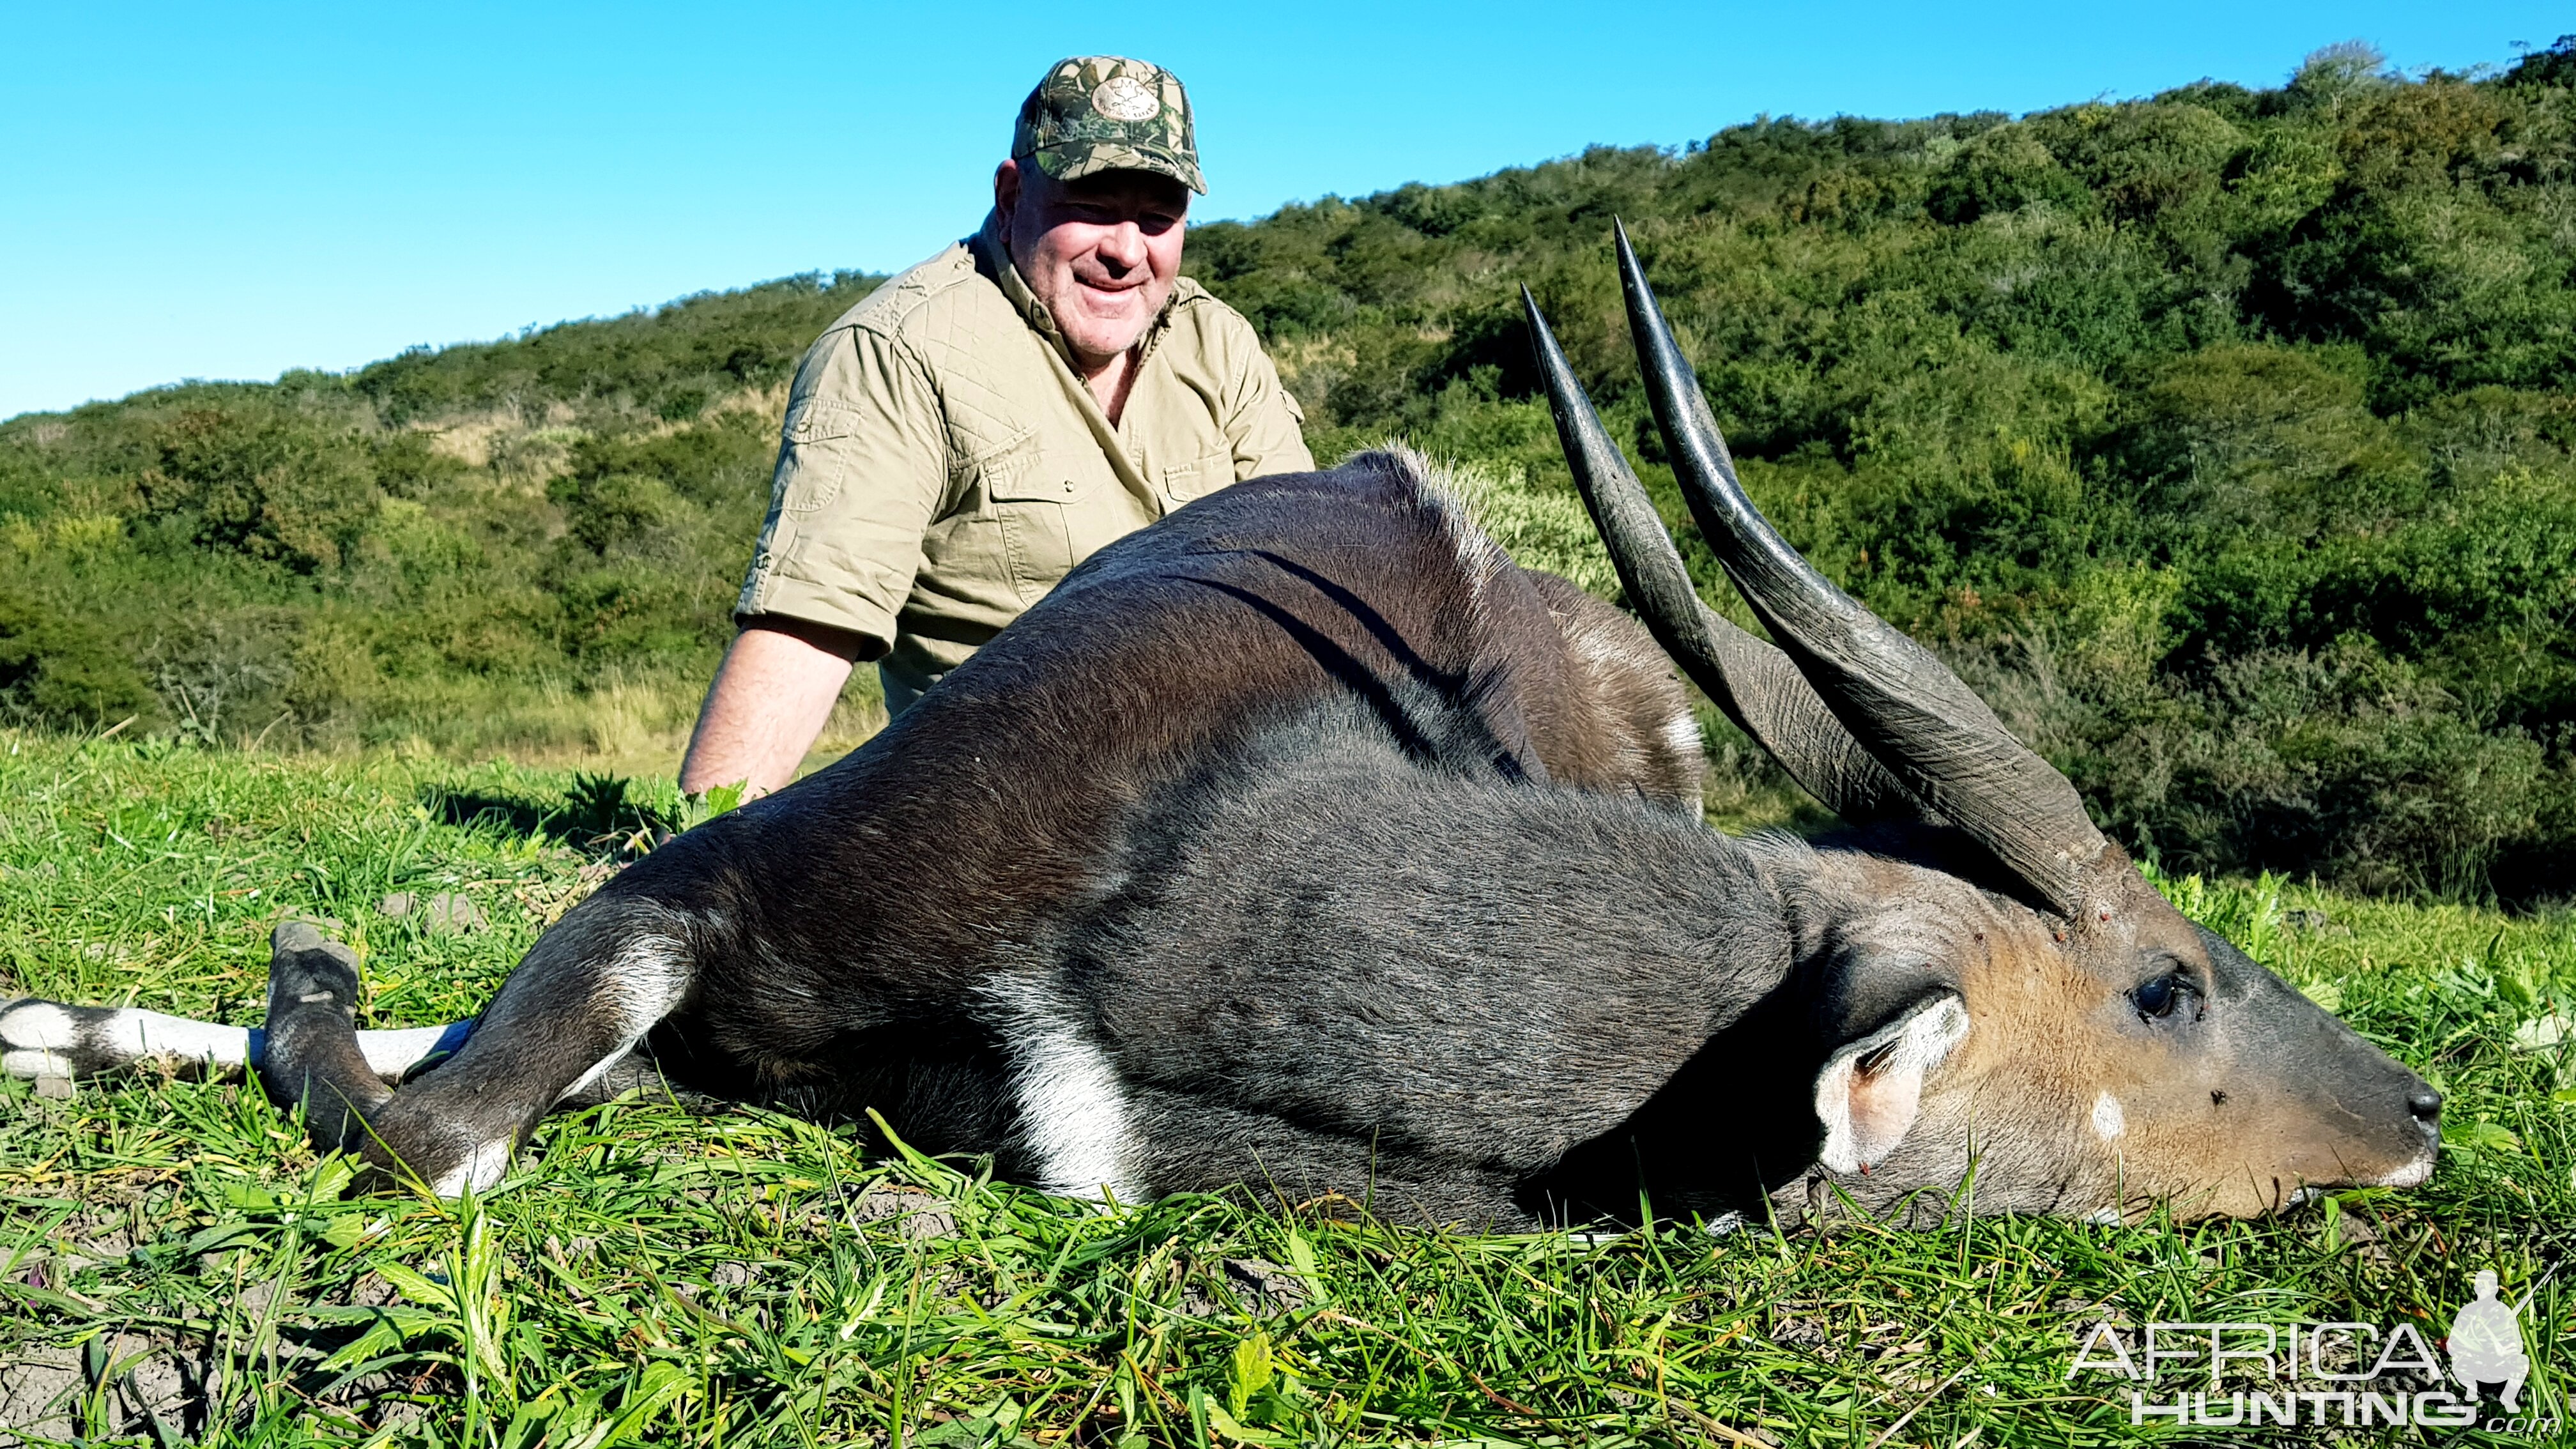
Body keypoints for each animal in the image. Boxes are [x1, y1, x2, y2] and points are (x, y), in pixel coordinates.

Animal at [0, 234, 2432, 1216]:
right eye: (2168, 978)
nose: (2415, 1105)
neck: (1167, 880)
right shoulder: (697, 889)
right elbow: (424, 1107)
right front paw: (146, 1005)